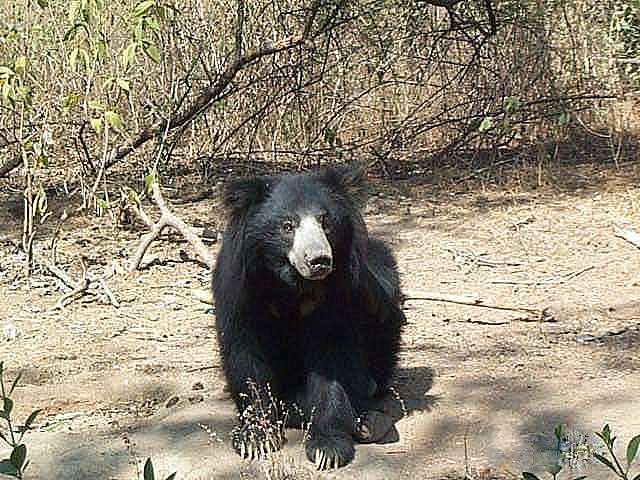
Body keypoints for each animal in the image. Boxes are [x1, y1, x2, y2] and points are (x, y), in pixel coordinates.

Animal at [215, 165, 404, 468]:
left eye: (326, 222)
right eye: (287, 226)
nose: (319, 261)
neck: (294, 283)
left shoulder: (339, 294)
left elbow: (332, 359)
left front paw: (328, 449)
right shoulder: (240, 288)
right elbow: (245, 352)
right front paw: (255, 439)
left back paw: (368, 421)